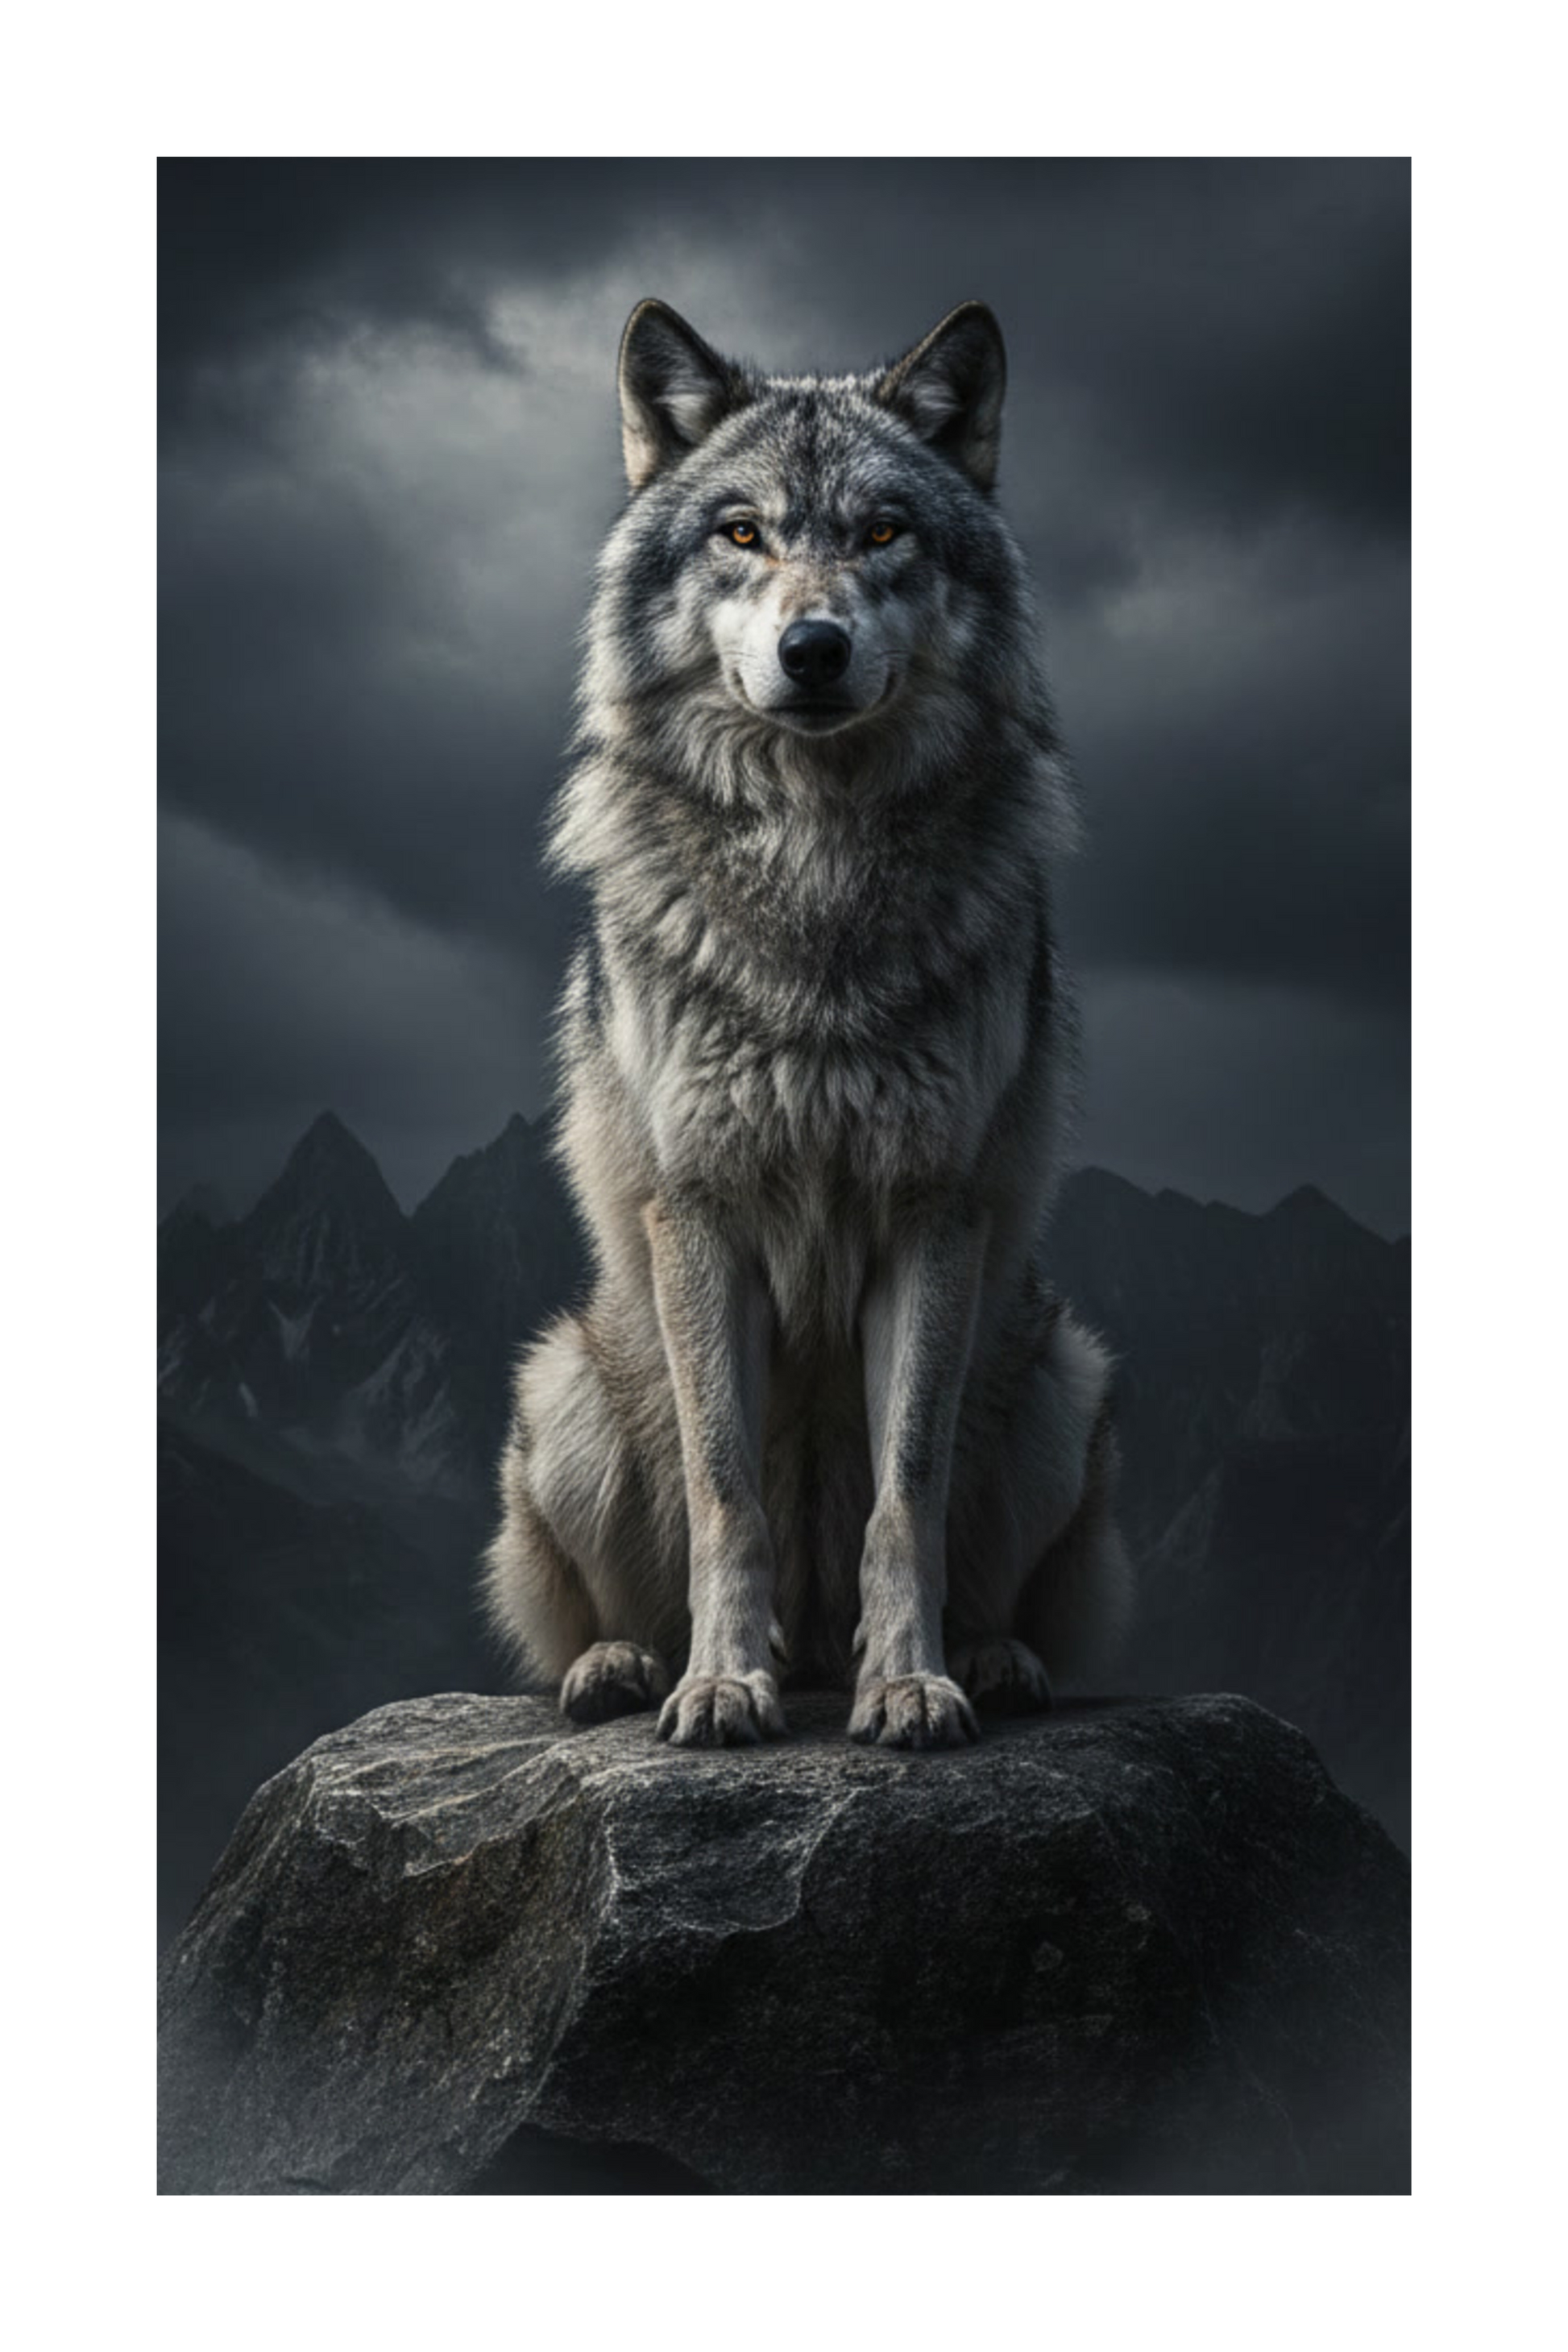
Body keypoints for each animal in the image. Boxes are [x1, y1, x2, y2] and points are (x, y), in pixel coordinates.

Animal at [482, 298, 1133, 1749]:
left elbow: (908, 1492)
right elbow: (728, 1494)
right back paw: (628, 1664)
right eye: (742, 533)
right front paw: (724, 1682)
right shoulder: (699, 1207)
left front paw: (911, 1682)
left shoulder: (931, 1209)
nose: (815, 648)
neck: (816, 870)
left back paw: (985, 1657)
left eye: (884, 532)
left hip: (1059, 1379)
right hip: (564, 1387)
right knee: (610, 1604)